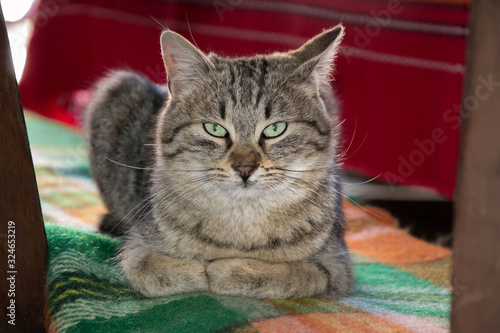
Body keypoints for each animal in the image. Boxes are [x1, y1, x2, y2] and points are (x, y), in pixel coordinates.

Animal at [85, 24, 352, 296]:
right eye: (214, 129)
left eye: (275, 129)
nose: (245, 168)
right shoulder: (138, 246)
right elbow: (155, 271)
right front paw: (201, 270)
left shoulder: (337, 267)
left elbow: (291, 275)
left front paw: (227, 270)